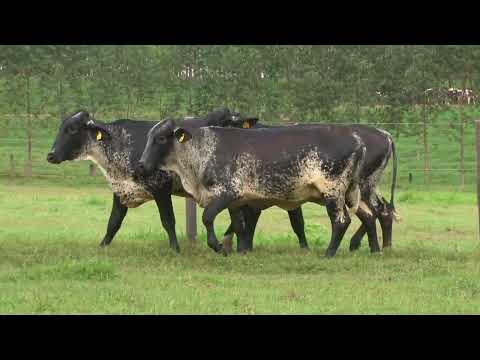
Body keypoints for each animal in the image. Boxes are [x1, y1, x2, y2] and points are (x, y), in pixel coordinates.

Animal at [135, 119, 368, 258]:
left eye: (161, 138)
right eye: (148, 138)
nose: (141, 164)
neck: (200, 152)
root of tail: (357, 140)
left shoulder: (227, 192)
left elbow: (207, 217)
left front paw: (218, 247)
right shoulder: (235, 202)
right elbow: (239, 227)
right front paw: (240, 251)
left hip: (333, 192)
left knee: (340, 221)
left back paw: (329, 253)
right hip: (347, 194)